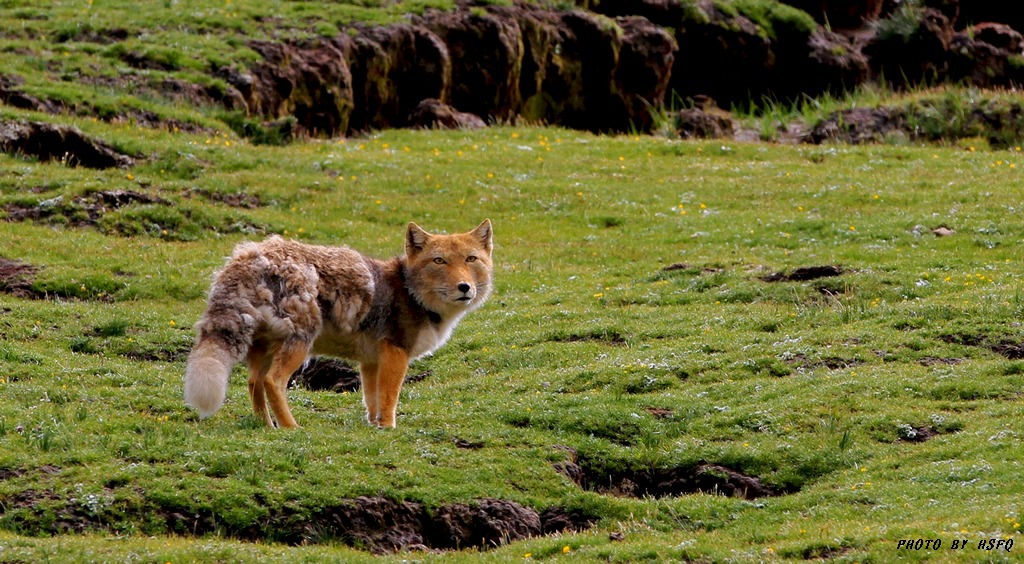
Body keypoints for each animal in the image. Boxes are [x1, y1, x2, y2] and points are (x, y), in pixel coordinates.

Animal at [185, 221, 495, 427]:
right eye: (439, 261)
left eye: (471, 259)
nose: (465, 287)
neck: (411, 292)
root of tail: (248, 256)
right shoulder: (396, 353)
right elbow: (390, 398)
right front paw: (388, 428)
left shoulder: (371, 361)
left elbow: (372, 400)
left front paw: (374, 427)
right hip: (299, 345)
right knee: (273, 382)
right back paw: (290, 427)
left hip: (267, 349)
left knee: (253, 383)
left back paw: (267, 426)